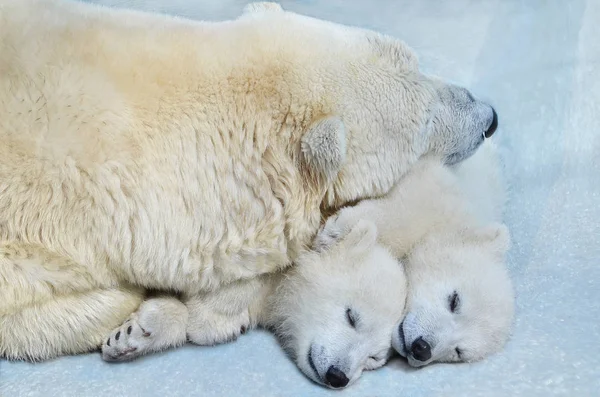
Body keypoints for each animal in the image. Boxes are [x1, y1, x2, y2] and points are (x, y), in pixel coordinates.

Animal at [330, 141, 512, 366]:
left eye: (458, 352)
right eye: (455, 301)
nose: (422, 348)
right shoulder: (445, 189)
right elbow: (410, 206)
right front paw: (337, 229)